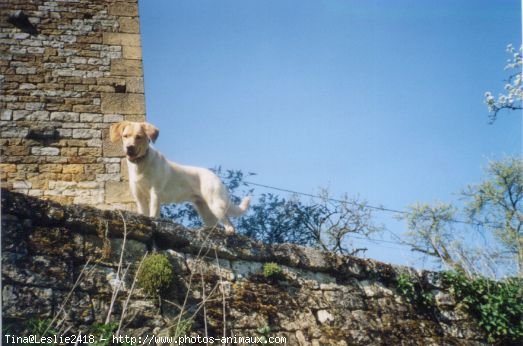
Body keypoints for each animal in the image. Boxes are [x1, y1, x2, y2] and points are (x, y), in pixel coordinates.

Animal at [109, 120, 251, 234]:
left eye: (139, 137)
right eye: (125, 136)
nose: (129, 148)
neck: (140, 165)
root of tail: (215, 176)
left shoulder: (155, 193)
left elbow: (153, 213)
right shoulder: (139, 196)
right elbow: (143, 213)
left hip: (215, 204)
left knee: (230, 224)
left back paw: (229, 232)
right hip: (205, 211)